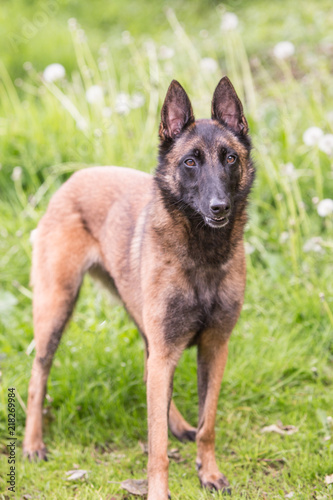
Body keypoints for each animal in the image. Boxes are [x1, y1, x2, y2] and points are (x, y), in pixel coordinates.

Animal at [23, 76, 253, 498]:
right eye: (190, 161)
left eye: (230, 158)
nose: (219, 208)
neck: (202, 253)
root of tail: (77, 176)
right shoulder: (168, 347)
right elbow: (156, 444)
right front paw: (159, 490)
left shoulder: (214, 348)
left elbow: (208, 423)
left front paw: (209, 473)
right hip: (56, 309)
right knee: (38, 376)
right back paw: (33, 444)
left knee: (150, 376)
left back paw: (178, 423)